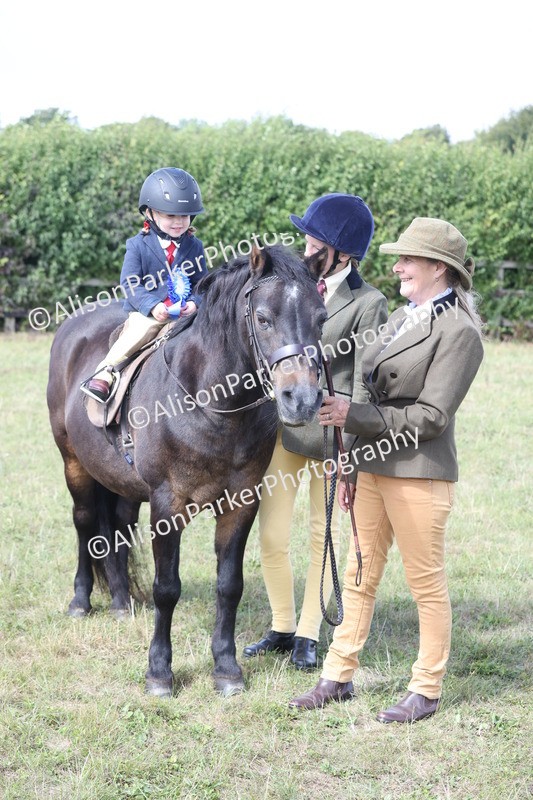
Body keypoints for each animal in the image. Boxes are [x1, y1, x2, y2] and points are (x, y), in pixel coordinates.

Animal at [47, 244, 328, 697]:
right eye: (263, 318)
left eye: (321, 318)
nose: (301, 399)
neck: (210, 404)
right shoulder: (167, 503)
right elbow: (167, 589)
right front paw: (159, 672)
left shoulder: (241, 502)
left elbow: (229, 585)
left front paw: (227, 669)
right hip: (74, 463)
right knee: (85, 523)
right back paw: (80, 601)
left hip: (123, 484)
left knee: (118, 527)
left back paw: (121, 602)